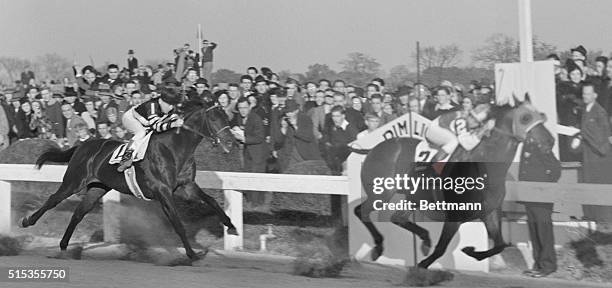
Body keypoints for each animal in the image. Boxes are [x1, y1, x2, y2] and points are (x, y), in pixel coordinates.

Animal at [22, 99, 237, 264]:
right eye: (214, 118)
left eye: (227, 117)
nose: (230, 142)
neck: (174, 148)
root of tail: (82, 145)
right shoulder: (163, 191)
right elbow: (177, 222)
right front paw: (192, 254)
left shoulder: (186, 186)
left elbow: (212, 200)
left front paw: (231, 225)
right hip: (74, 182)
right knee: (53, 199)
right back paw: (27, 221)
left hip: (97, 188)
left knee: (78, 214)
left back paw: (64, 247)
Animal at [354, 100, 560, 268]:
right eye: (525, 118)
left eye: (540, 115)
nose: (550, 140)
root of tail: (372, 149)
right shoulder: (454, 215)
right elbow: (441, 248)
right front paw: (422, 265)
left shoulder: (490, 211)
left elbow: (500, 245)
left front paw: (471, 251)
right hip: (381, 193)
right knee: (361, 211)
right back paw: (378, 247)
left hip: (413, 198)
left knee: (397, 218)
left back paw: (424, 240)